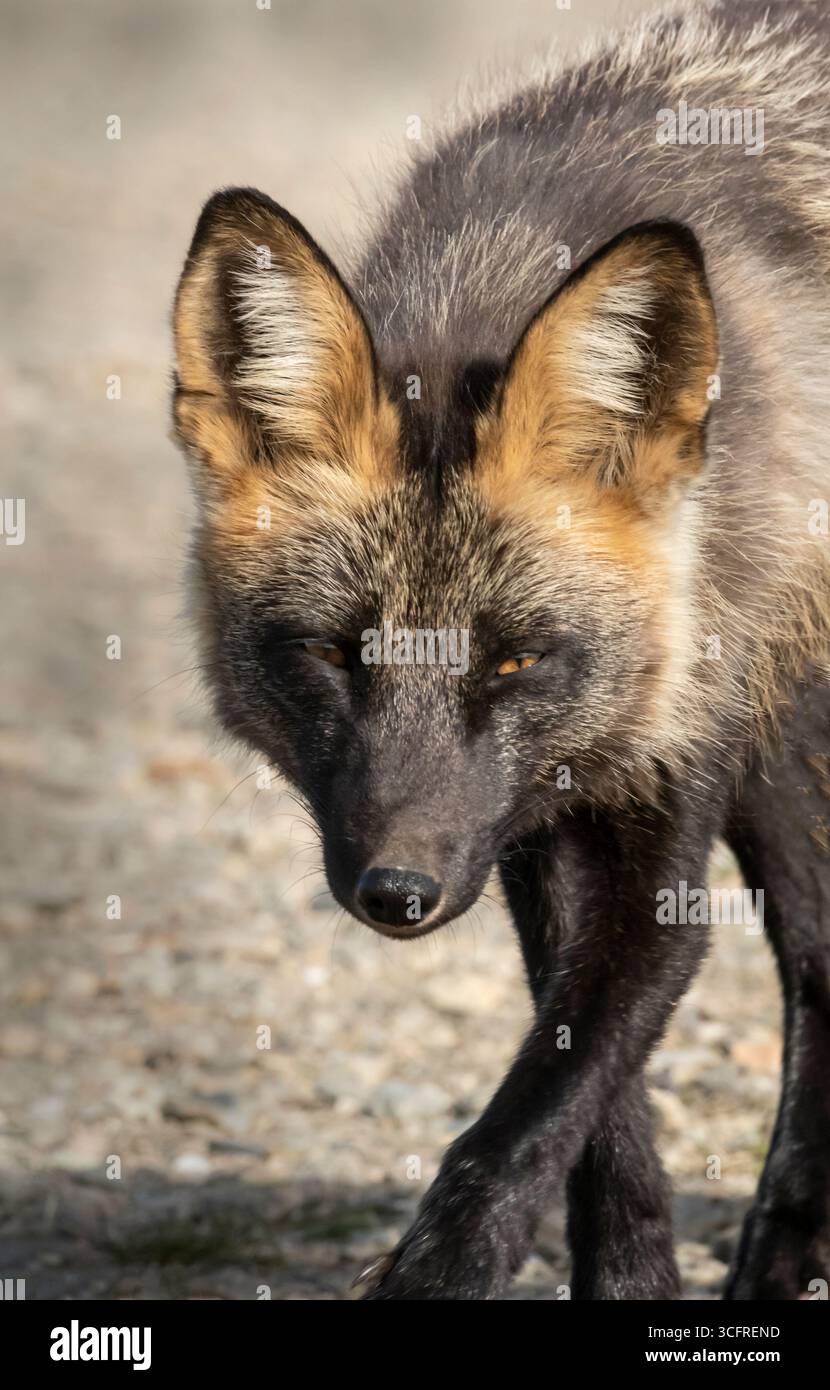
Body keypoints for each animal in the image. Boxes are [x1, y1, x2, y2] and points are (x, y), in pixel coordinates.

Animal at [171, 0, 830, 1300]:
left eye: (516, 662)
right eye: (336, 653)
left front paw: (445, 1267)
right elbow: (594, 1113)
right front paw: (632, 1282)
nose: (397, 894)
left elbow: (525, 1122)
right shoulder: (535, 815)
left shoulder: (665, 771)